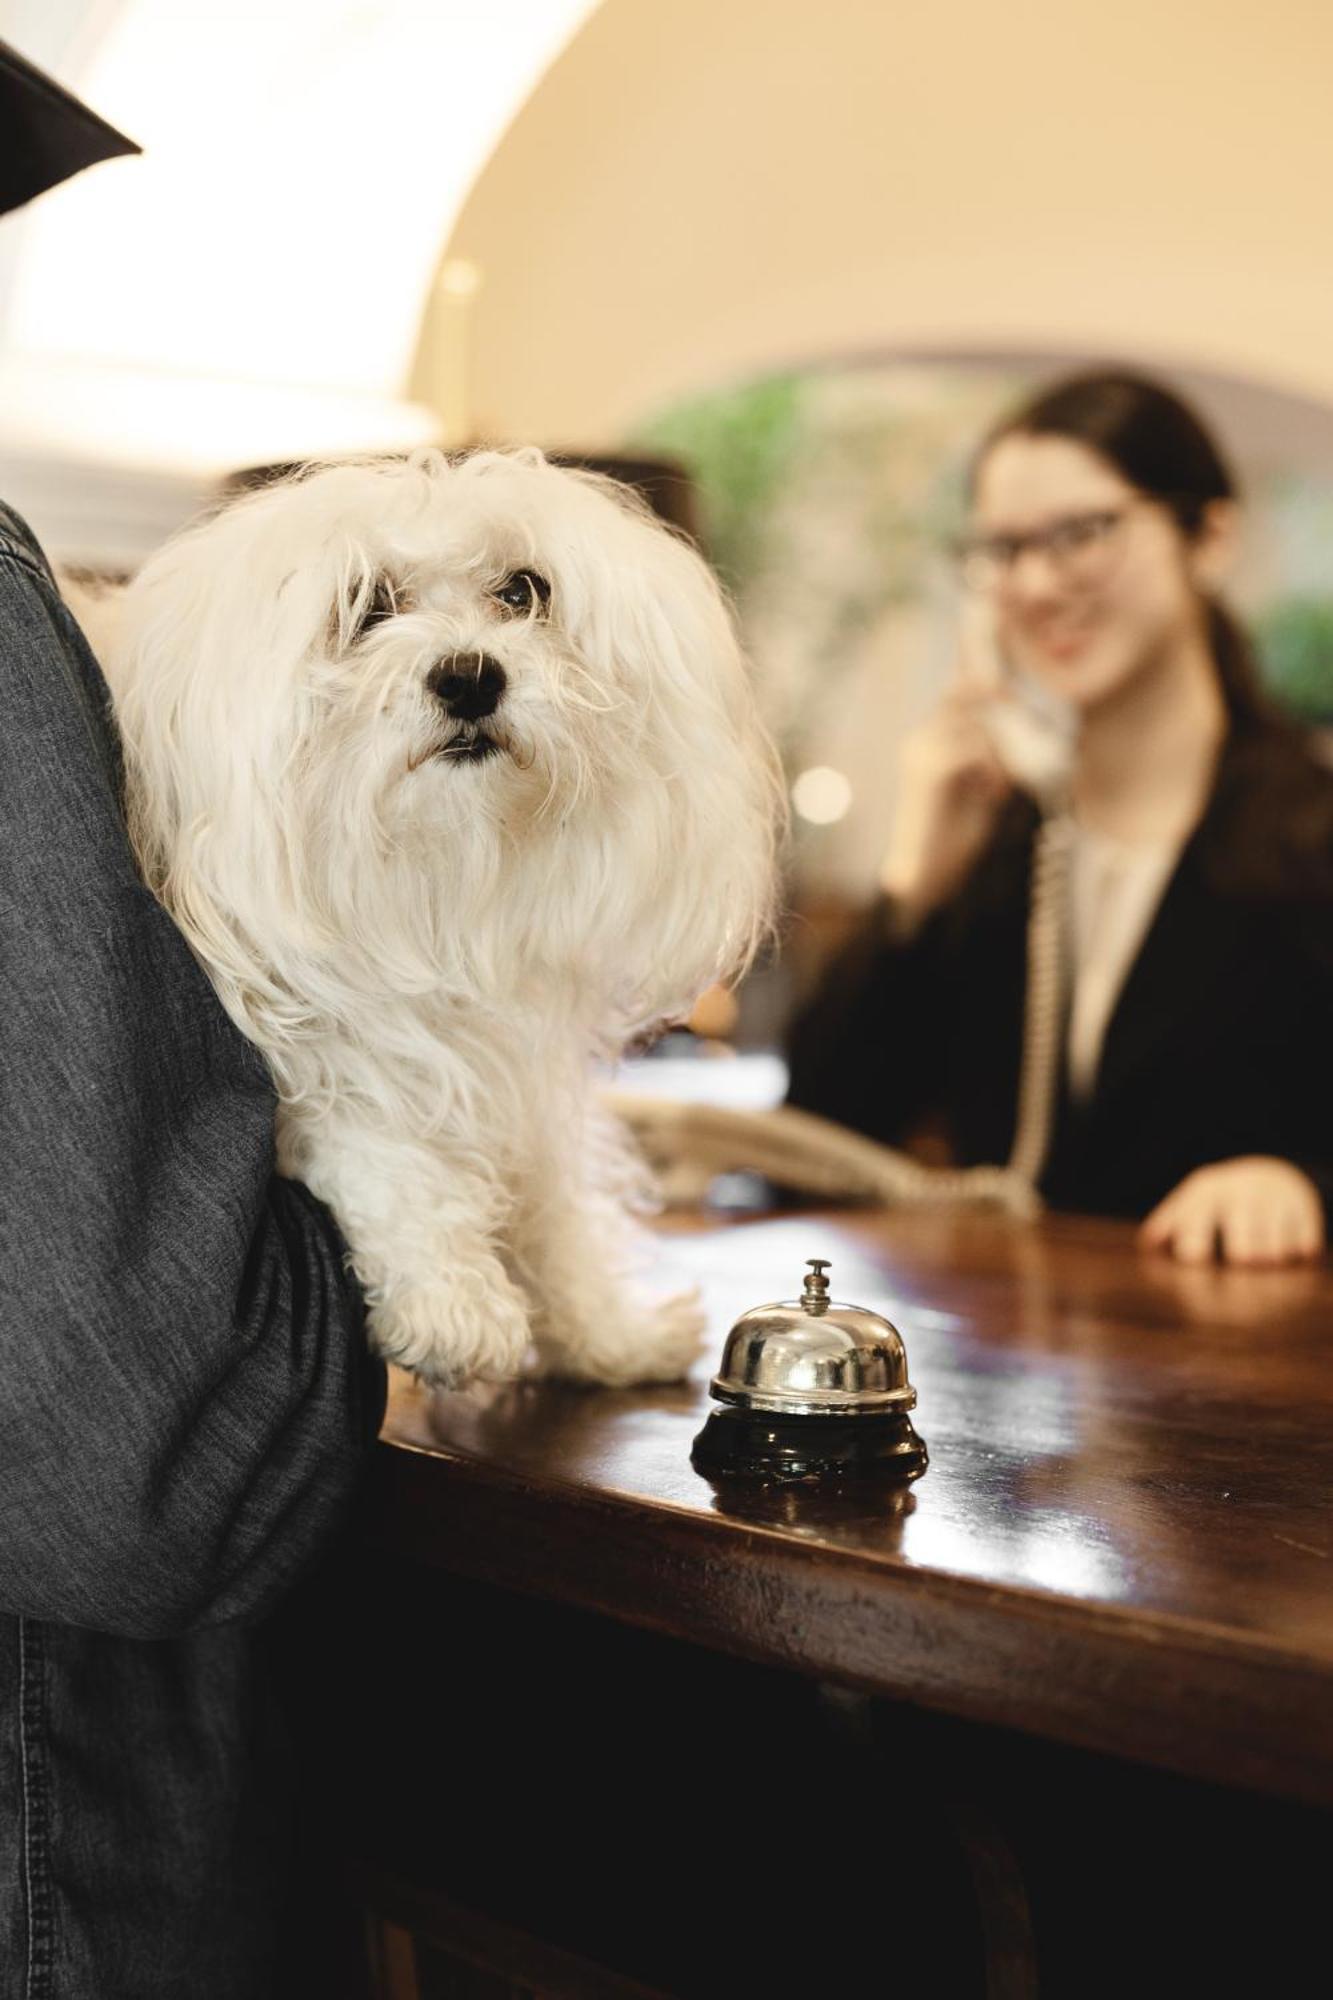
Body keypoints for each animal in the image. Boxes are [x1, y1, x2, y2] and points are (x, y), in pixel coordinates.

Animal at [91, 450, 780, 1392]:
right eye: (366, 606)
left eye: (524, 591)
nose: (469, 675)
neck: (433, 885)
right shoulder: (309, 1048)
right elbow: (376, 1140)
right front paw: (452, 1302)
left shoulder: (519, 1067)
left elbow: (555, 1201)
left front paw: (605, 1327)